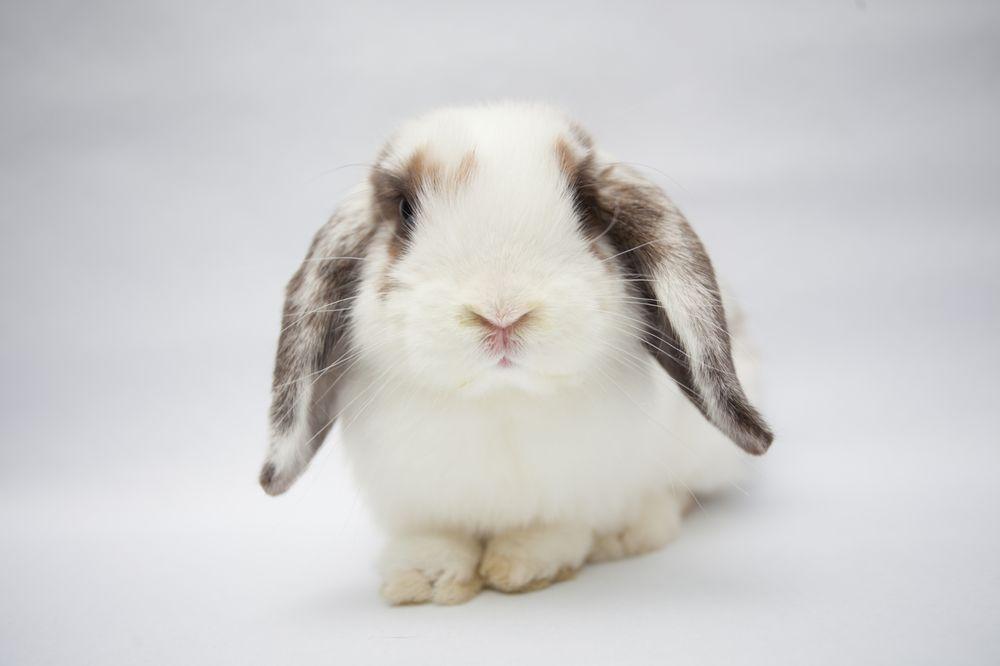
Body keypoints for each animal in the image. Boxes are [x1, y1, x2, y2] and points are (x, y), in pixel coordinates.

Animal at [258, 102, 773, 605]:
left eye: (585, 204)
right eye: (405, 209)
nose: (502, 313)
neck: (499, 397)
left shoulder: (577, 489)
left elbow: (554, 529)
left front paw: (523, 566)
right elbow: (435, 535)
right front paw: (424, 579)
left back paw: (630, 531)